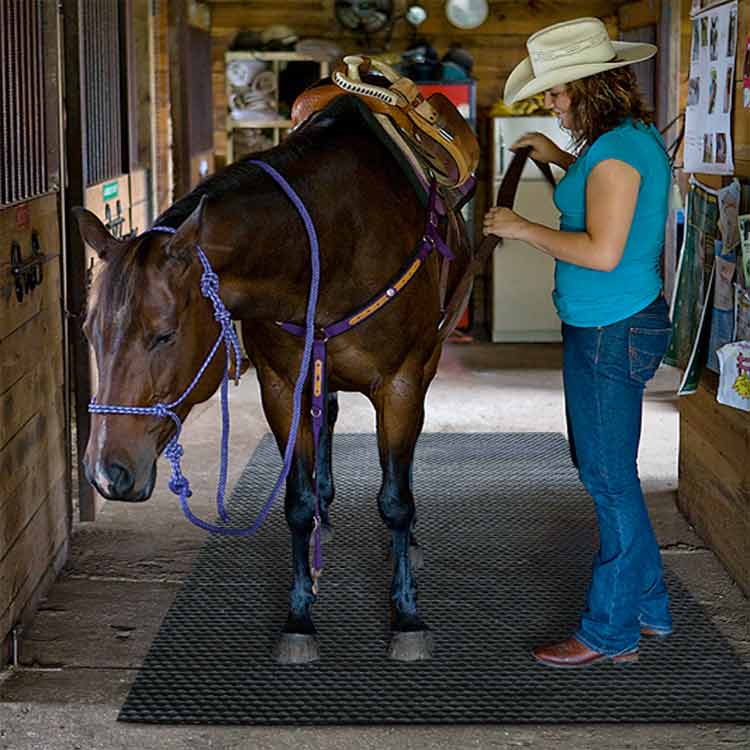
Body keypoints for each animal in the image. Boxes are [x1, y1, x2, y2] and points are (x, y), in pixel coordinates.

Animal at [73, 104, 472, 664]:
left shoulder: (400, 385)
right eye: (89, 331)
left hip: (425, 367)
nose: (107, 473)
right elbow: (297, 502)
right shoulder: (282, 387)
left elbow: (396, 501)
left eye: (164, 334)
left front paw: (407, 617)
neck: (330, 243)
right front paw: (300, 617)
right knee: (326, 420)